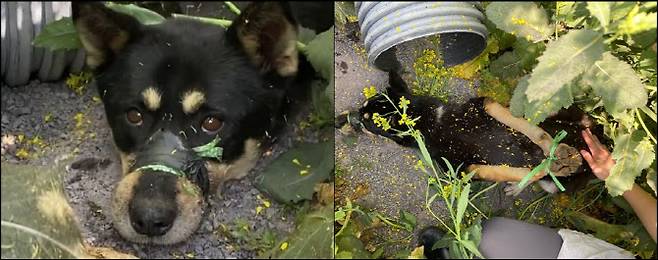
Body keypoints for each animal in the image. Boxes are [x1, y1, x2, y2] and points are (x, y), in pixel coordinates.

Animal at [338, 71, 600, 195]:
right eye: (362, 109)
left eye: (367, 123)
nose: (342, 119)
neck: (429, 121)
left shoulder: (484, 108)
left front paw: (549, 153)